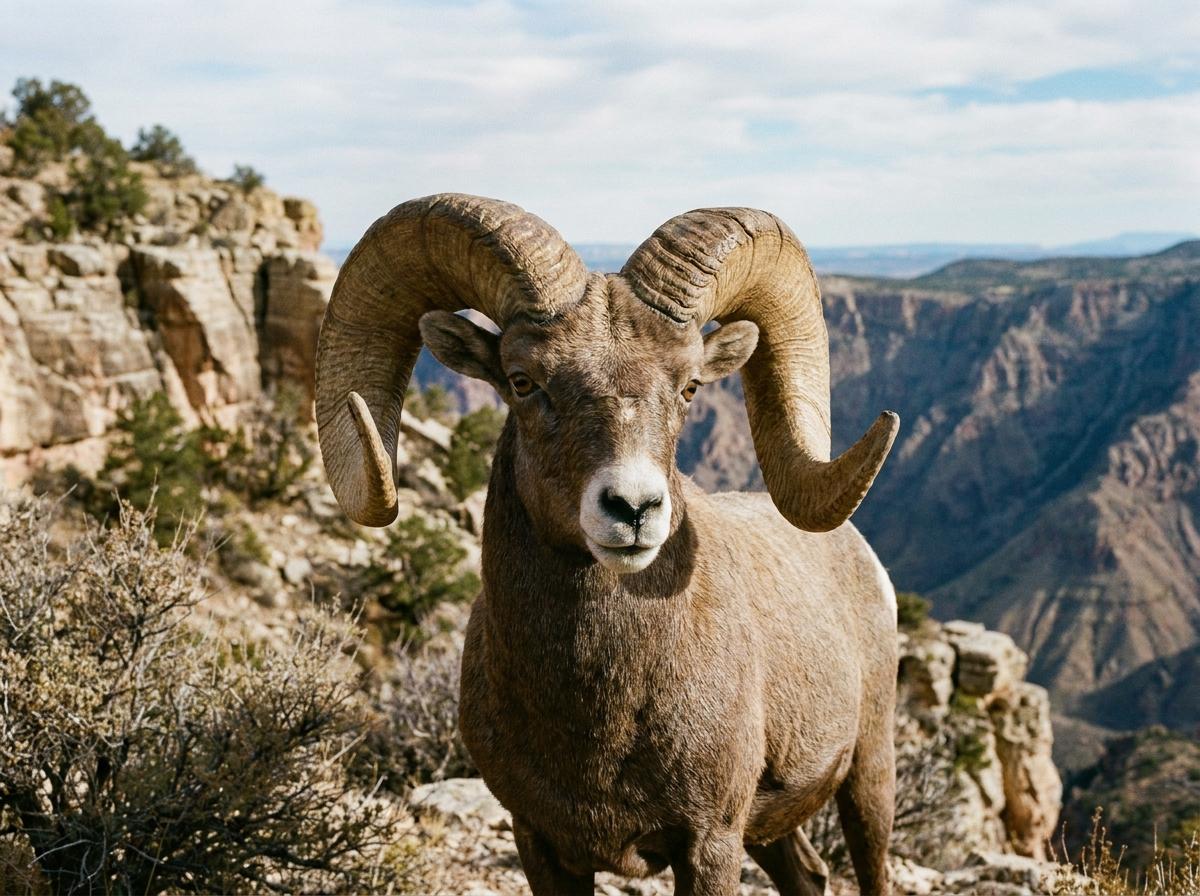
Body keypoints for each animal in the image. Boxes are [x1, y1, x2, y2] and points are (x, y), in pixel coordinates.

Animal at [315, 194, 901, 896]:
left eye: (689, 386)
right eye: (522, 380)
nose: (634, 509)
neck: (601, 713)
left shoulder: (710, 843)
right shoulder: (542, 843)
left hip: (868, 778)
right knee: (808, 875)